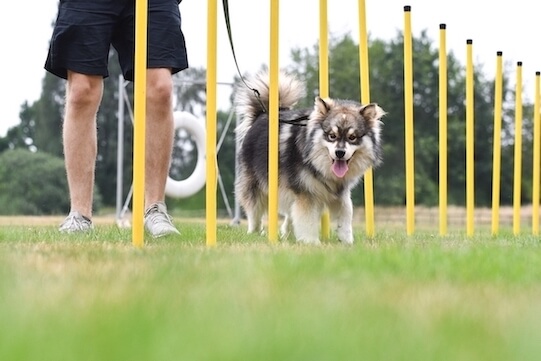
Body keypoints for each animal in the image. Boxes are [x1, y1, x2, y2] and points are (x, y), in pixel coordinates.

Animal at [233, 69, 384, 245]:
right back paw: (255, 233)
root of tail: (263, 114)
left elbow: (346, 214)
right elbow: (307, 219)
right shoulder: (306, 193)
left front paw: (346, 240)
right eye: (331, 136)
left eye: (352, 137)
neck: (320, 166)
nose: (340, 153)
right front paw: (311, 242)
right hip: (256, 186)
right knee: (254, 212)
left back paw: (287, 233)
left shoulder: (340, 193)